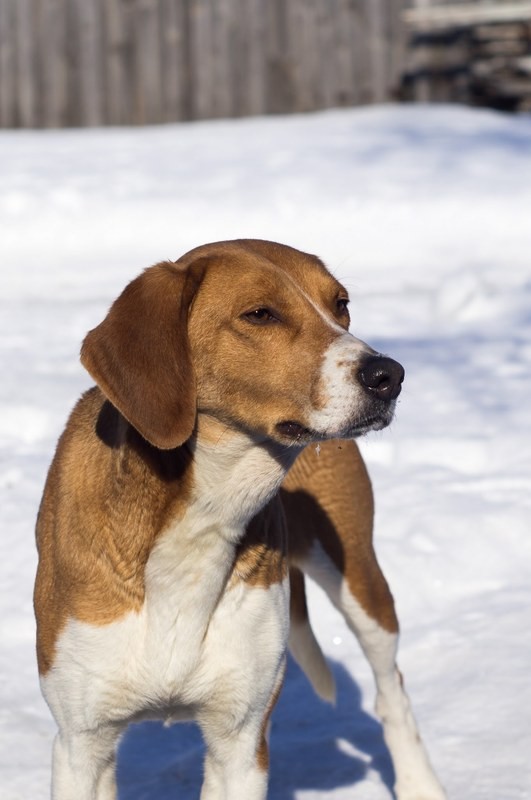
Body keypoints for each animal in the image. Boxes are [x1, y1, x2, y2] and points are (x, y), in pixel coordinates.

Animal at [35, 239, 446, 800]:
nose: (389, 374)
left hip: (360, 583)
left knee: (392, 692)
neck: (206, 516)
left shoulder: (241, 741)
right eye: (260, 314)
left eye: (340, 304)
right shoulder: (81, 743)